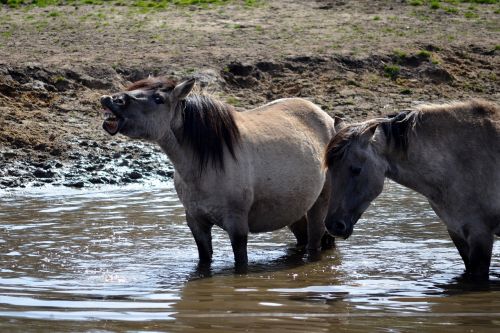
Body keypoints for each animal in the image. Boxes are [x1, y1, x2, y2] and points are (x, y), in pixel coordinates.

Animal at [100, 76, 340, 272]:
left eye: (158, 98)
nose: (110, 99)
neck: (204, 167)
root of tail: (327, 119)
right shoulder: (196, 223)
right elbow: (204, 260)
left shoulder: (237, 226)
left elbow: (240, 263)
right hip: (294, 210)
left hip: (319, 206)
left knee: (314, 244)